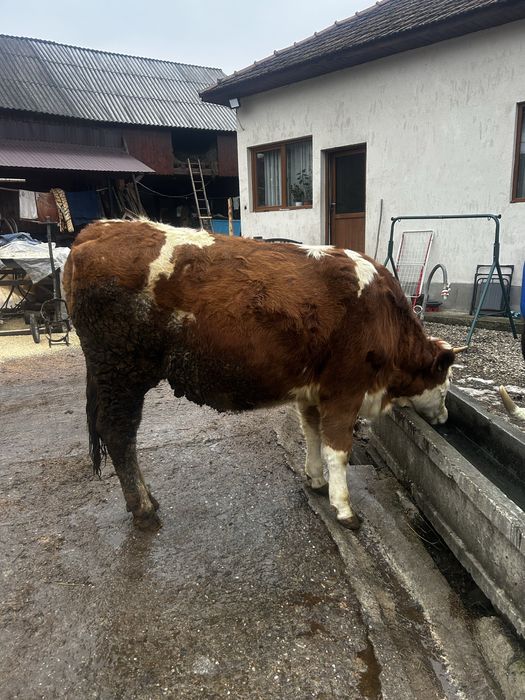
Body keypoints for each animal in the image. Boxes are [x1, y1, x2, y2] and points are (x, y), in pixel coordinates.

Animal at [63, 219, 460, 531]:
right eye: (445, 387)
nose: (445, 418)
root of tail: (97, 230)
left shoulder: (312, 392)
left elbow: (311, 434)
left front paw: (315, 480)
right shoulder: (344, 390)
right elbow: (338, 451)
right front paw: (345, 509)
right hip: (121, 372)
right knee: (119, 435)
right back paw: (144, 509)